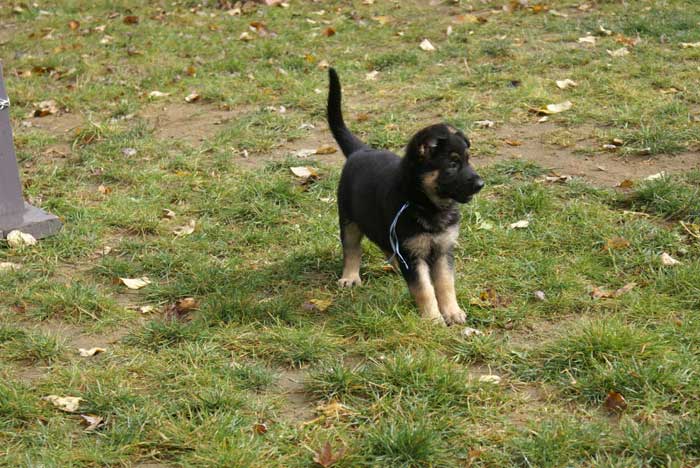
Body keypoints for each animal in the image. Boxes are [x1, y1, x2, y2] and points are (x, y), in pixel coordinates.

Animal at [326, 68, 482, 326]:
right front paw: (433, 319)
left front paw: (452, 311)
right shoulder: (412, 253)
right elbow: (424, 288)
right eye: (452, 165)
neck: (425, 204)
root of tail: (361, 150)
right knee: (352, 248)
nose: (481, 184)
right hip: (348, 218)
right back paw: (350, 276)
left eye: (468, 161)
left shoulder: (443, 249)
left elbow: (445, 283)